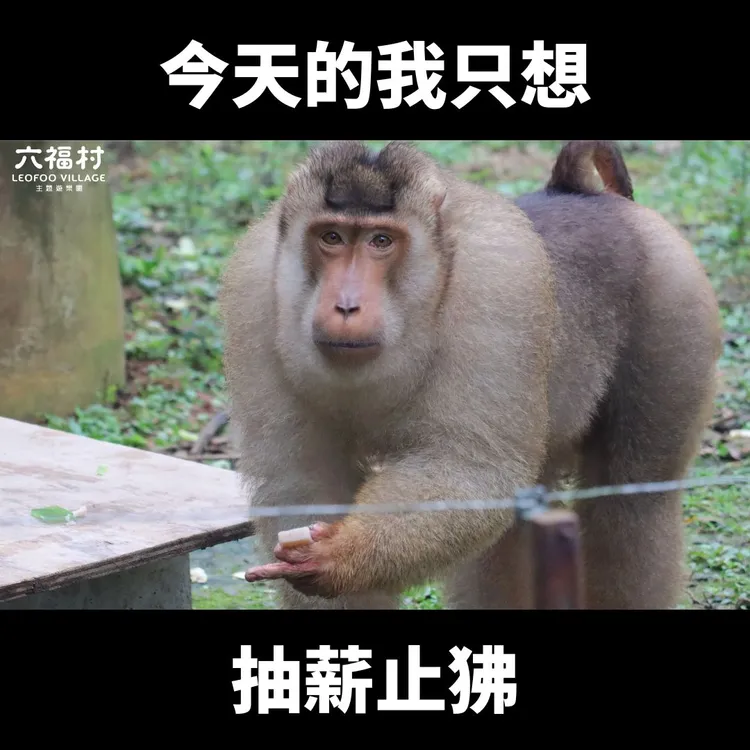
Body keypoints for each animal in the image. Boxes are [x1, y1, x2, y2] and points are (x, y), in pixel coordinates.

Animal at [218, 139, 722, 610]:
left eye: (381, 240)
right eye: (332, 237)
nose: (346, 306)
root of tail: (583, 193)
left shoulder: (496, 287)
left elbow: (468, 471)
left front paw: (338, 557)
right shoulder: (253, 295)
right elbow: (303, 483)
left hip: (673, 305)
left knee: (631, 502)